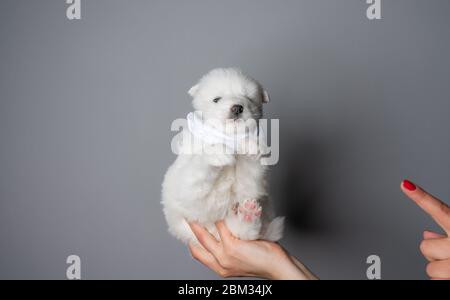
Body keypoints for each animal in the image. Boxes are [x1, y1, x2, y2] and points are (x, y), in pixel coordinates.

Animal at [162, 67, 284, 244]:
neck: (228, 137)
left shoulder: (251, 186)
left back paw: (247, 215)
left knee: (247, 233)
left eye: (248, 98)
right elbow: (199, 165)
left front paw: (251, 146)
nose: (237, 108)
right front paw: (219, 153)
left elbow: (249, 172)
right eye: (216, 99)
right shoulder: (189, 191)